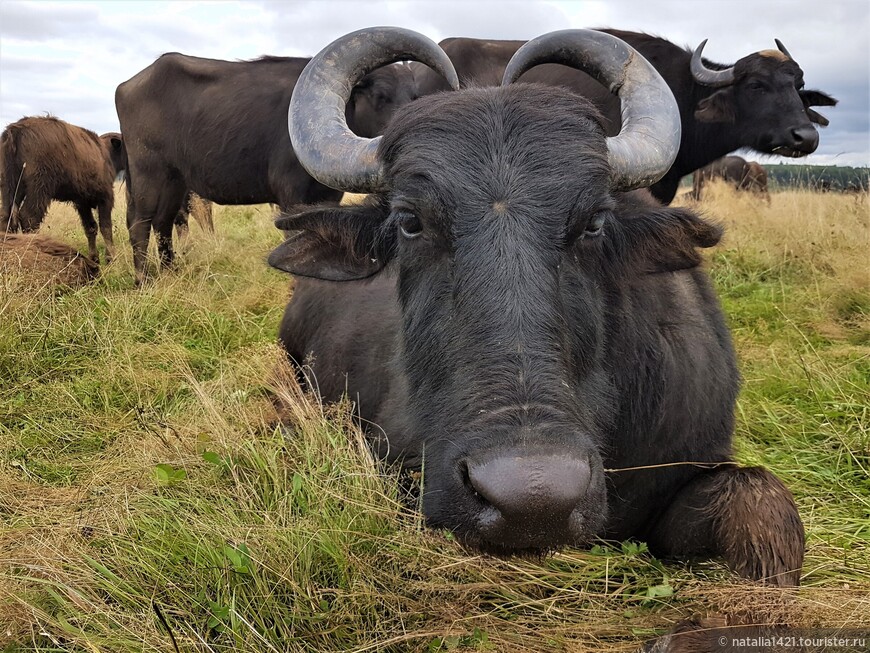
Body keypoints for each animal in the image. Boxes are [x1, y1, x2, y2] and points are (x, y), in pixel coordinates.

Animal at [0, 117, 124, 262]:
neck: (105, 153)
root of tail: (16, 129)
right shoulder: (105, 197)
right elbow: (106, 227)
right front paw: (111, 258)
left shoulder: (82, 202)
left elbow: (91, 227)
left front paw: (94, 258)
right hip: (39, 188)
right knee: (29, 217)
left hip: (10, 187)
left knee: (6, 217)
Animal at [116, 52, 422, 282]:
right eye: (380, 96)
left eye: (415, 96)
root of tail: (128, 85)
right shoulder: (290, 195)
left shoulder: (327, 195)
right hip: (148, 173)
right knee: (140, 222)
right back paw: (144, 280)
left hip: (175, 180)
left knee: (163, 222)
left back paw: (171, 272)